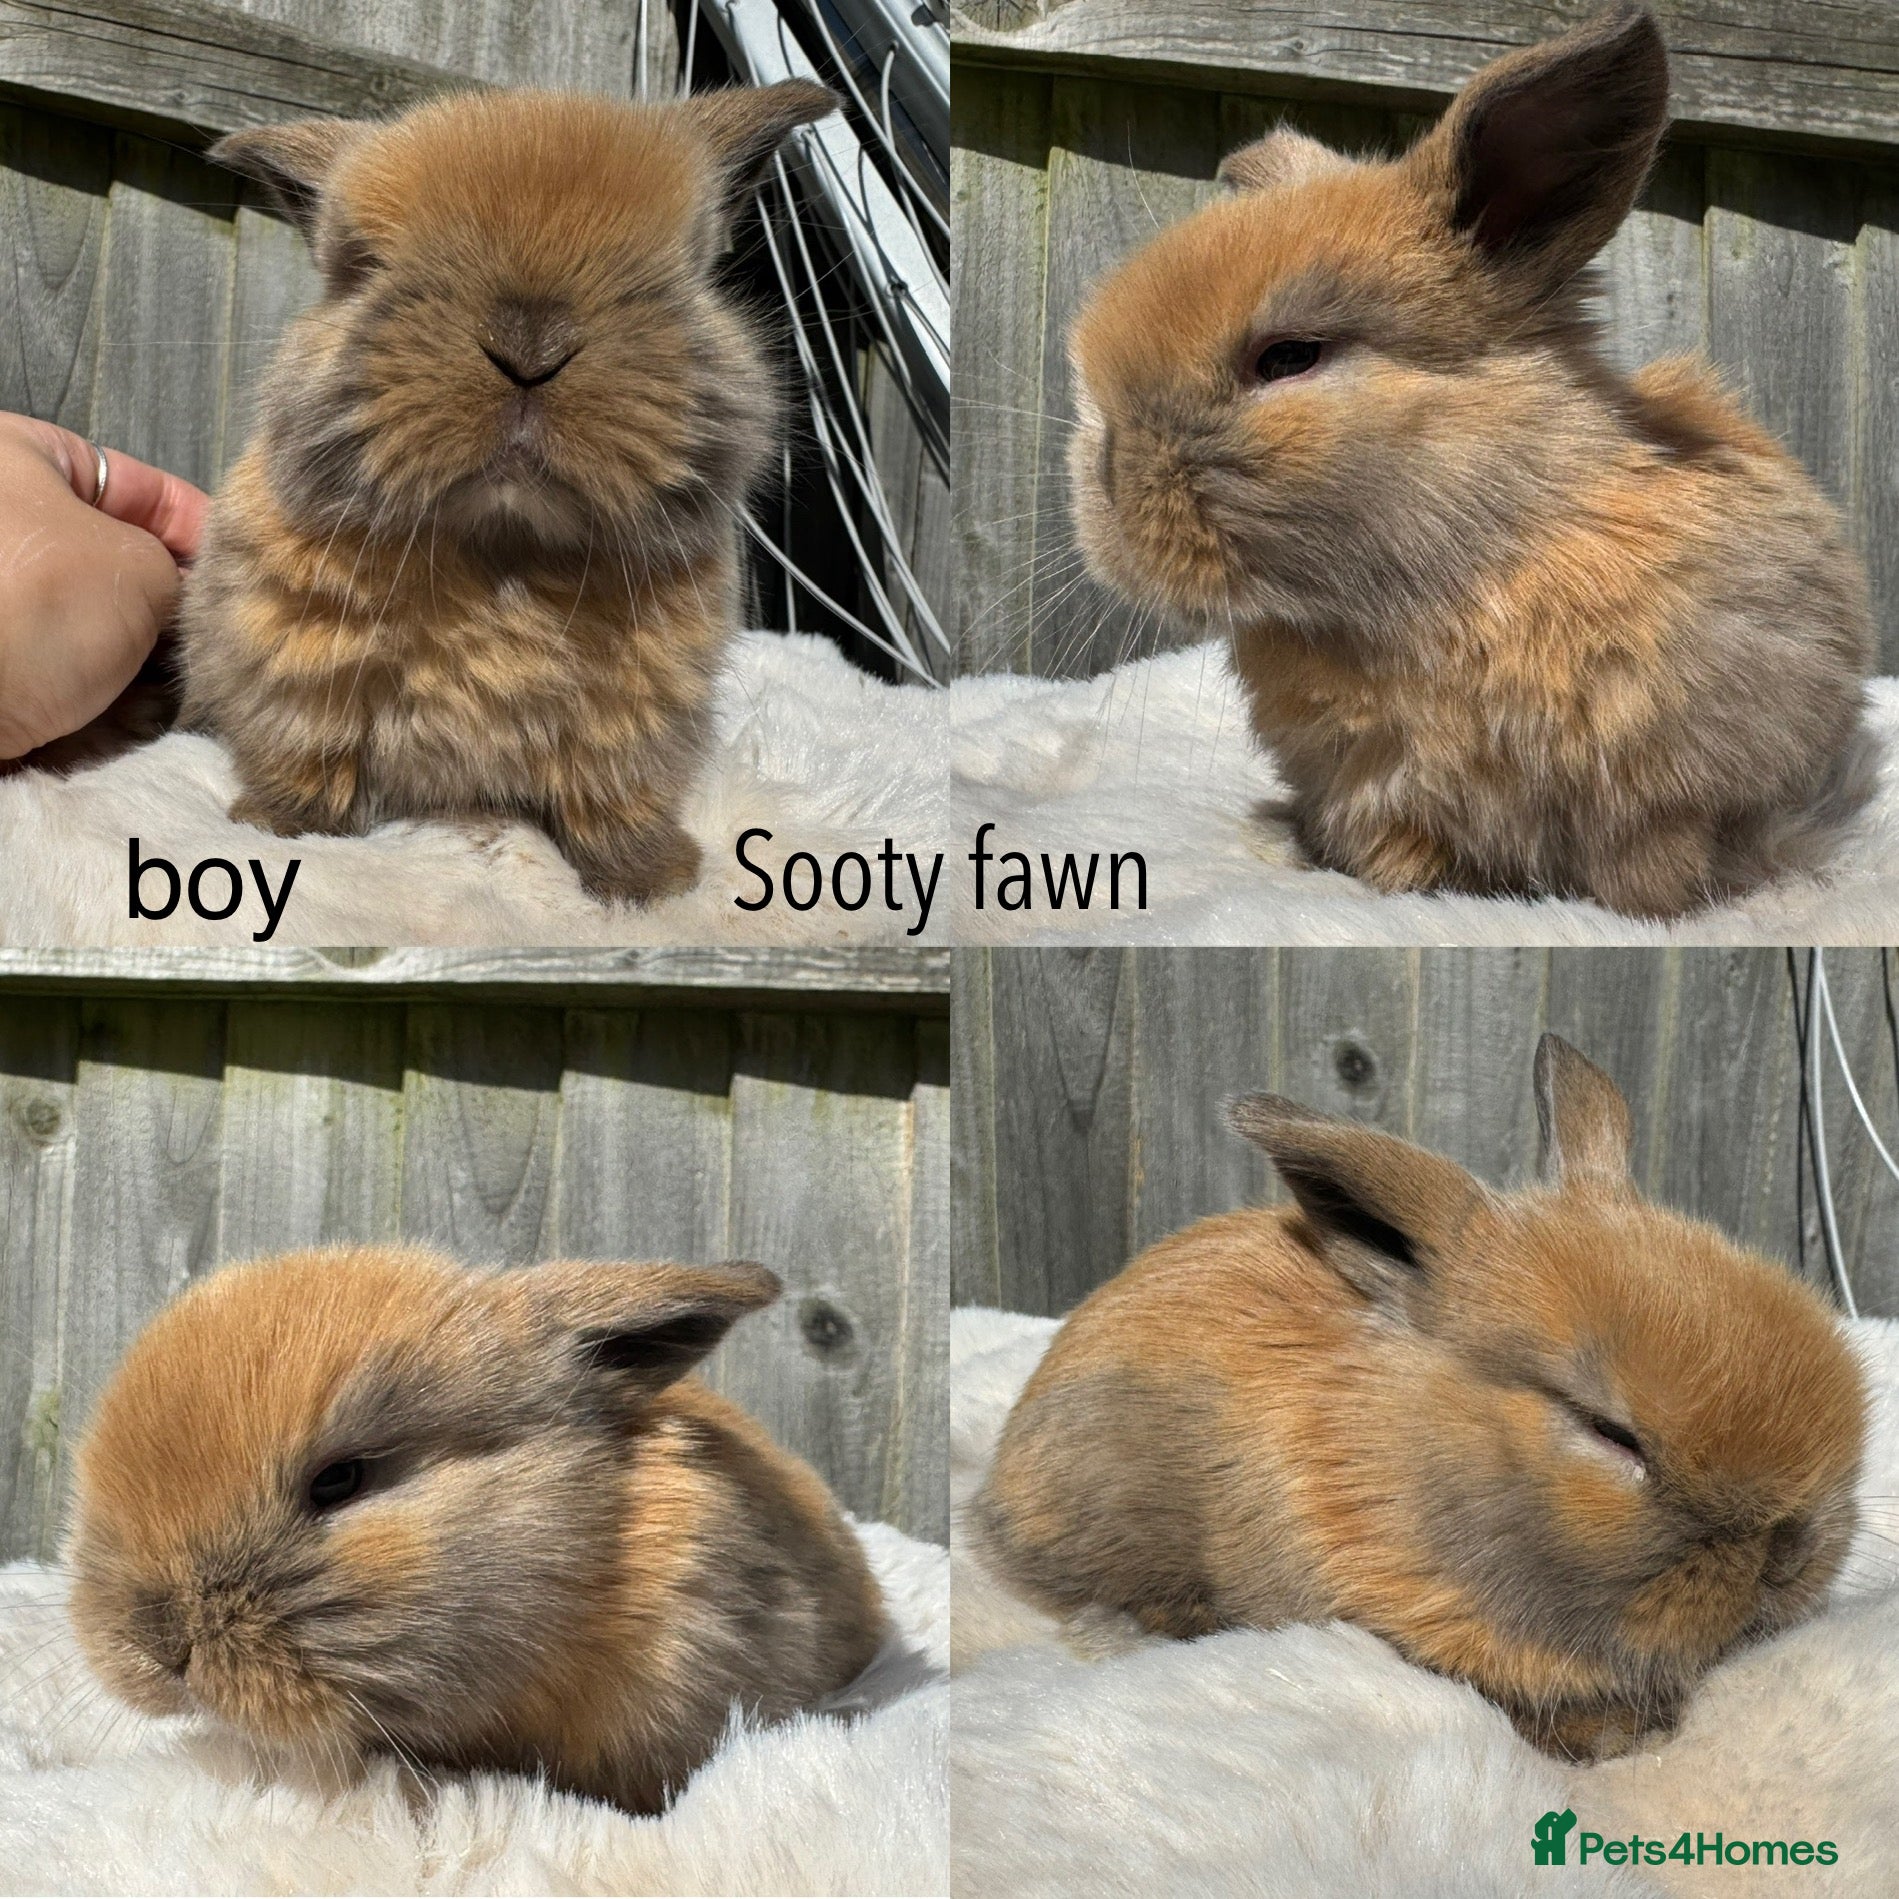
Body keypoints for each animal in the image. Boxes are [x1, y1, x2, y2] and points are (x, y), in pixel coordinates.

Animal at [177, 80, 836, 905]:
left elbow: (613, 795)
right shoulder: (298, 671)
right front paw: (277, 826)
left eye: (684, 268)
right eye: (365, 265)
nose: (529, 349)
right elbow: (305, 754)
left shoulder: (629, 720)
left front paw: (650, 881)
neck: (503, 547)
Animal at [1062, 2, 1877, 919]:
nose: (1106, 484)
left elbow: (1653, 875)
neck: (1464, 571)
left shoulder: (1675, 801)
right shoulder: (1376, 796)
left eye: (1288, 357)